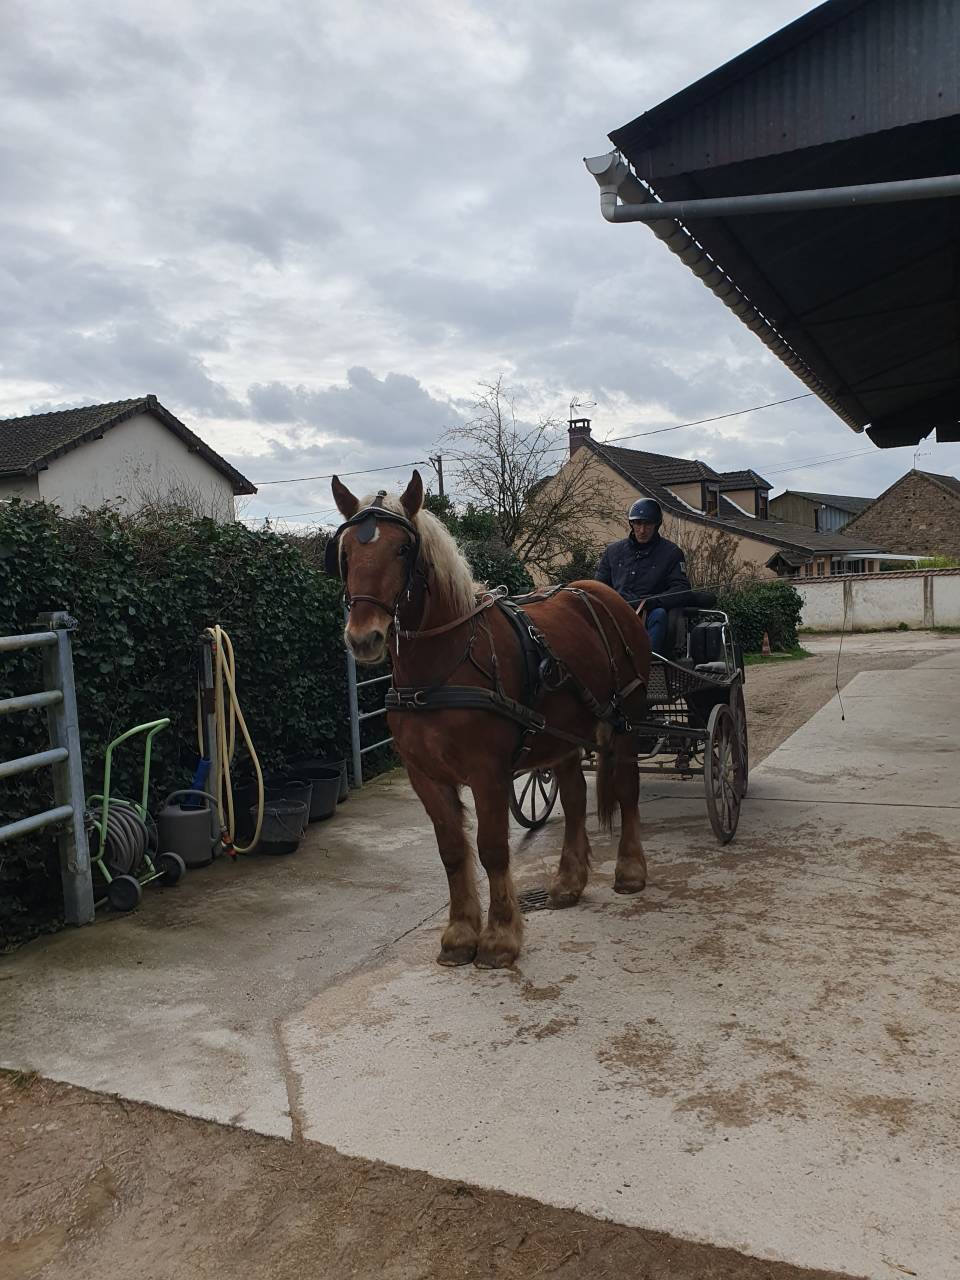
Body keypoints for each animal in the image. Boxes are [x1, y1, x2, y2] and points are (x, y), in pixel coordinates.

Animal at [329, 469, 652, 969]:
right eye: (345, 553)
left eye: (402, 549)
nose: (365, 638)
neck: (444, 665)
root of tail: (600, 594)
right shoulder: (426, 776)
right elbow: (451, 851)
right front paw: (460, 934)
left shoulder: (488, 773)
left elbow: (493, 849)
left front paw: (500, 937)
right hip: (562, 735)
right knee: (575, 798)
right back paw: (568, 881)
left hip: (626, 724)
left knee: (628, 789)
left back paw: (631, 869)